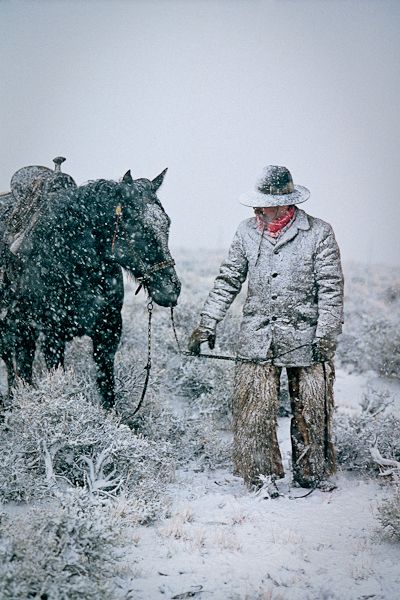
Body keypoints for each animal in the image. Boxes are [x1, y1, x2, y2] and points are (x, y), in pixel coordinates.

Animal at [2, 169, 181, 412]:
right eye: (135, 226)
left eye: (166, 223)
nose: (171, 289)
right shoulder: (52, 337)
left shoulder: (108, 333)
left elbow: (107, 390)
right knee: (16, 368)